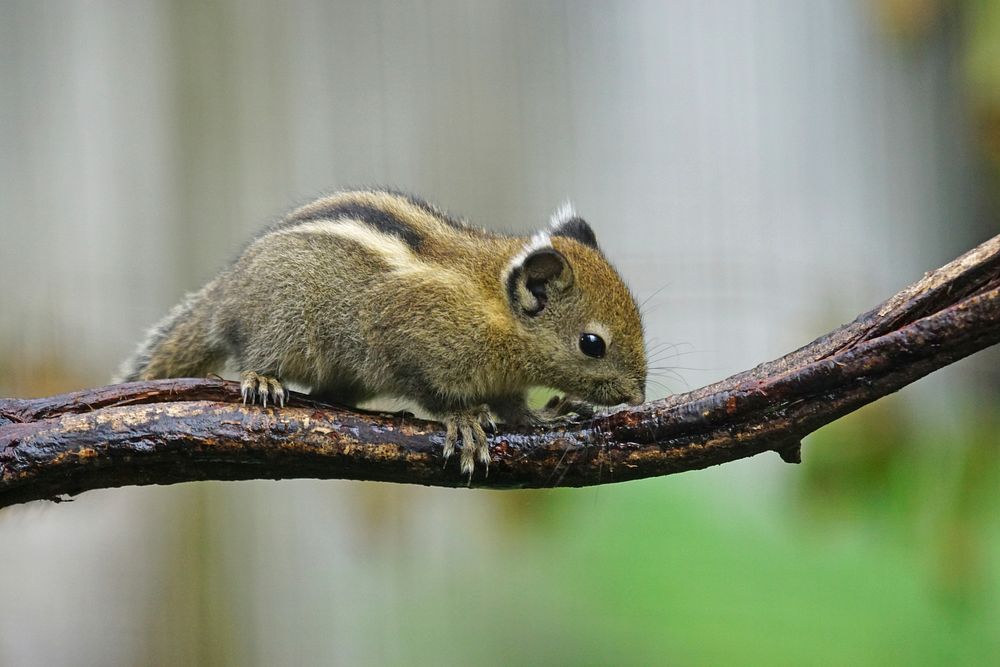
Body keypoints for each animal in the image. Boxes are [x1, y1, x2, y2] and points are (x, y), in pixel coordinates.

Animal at [117, 190, 648, 478]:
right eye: (592, 344)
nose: (639, 398)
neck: (494, 309)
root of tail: (224, 292)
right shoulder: (407, 342)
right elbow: (434, 393)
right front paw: (463, 420)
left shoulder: (505, 383)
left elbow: (515, 409)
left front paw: (546, 417)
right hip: (280, 322)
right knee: (255, 355)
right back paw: (263, 380)